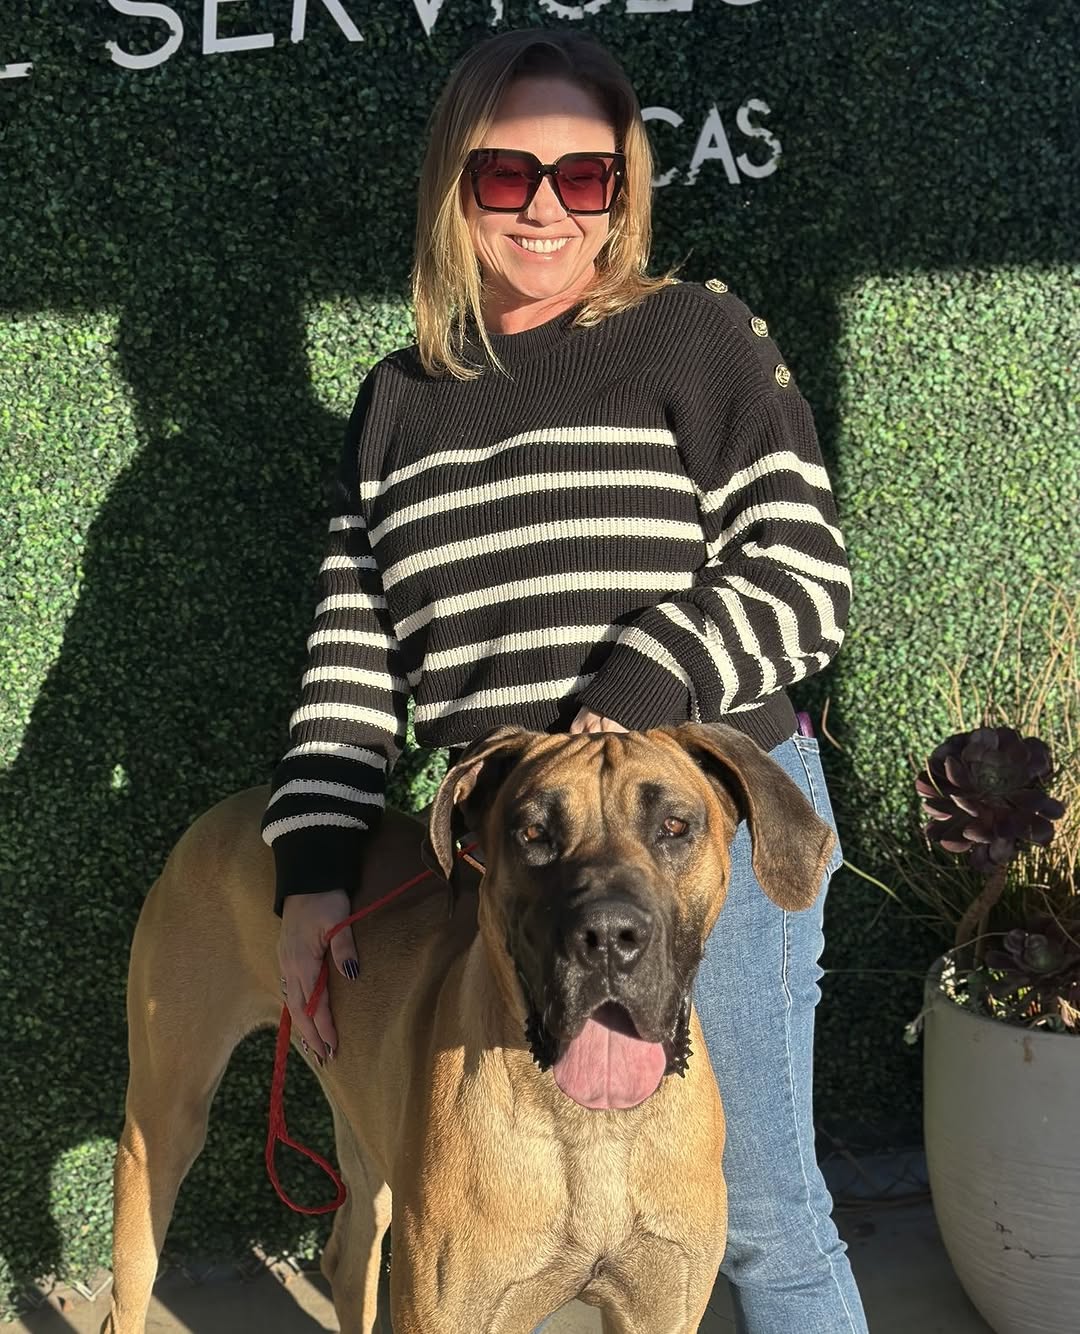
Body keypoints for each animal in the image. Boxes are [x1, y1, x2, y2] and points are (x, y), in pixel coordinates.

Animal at [103, 725, 832, 1334]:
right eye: (533, 833)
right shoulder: (452, 1309)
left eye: (675, 826)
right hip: (162, 1125)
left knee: (348, 1257)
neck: (591, 1128)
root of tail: (234, 808)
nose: (607, 936)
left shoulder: (662, 1305)